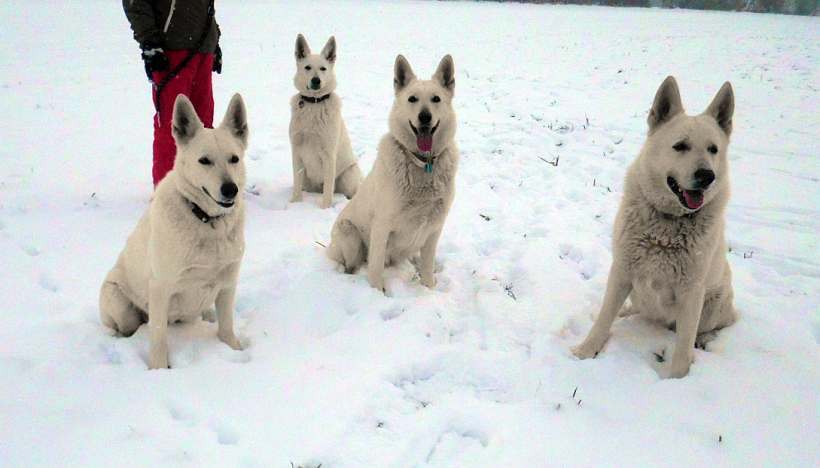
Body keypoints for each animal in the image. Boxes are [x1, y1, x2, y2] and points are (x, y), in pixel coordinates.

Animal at [292, 33, 362, 208]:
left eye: (323, 69)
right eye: (307, 67)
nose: (316, 80)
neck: (314, 103)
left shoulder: (329, 154)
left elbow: (328, 189)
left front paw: (324, 209)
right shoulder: (296, 151)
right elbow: (296, 183)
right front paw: (294, 204)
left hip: (348, 176)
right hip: (308, 182)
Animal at [326, 54, 458, 292]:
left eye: (436, 99)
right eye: (412, 99)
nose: (425, 117)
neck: (422, 163)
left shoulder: (434, 229)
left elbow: (427, 267)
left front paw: (429, 289)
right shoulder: (382, 226)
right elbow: (376, 268)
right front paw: (377, 293)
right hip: (349, 233)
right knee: (352, 265)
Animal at [572, 76, 740, 376]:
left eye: (713, 149)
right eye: (680, 146)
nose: (706, 176)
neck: (667, 226)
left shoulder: (691, 292)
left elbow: (683, 349)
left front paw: (677, 381)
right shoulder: (622, 271)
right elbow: (603, 318)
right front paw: (586, 351)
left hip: (713, 303)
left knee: (718, 324)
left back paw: (705, 339)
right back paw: (626, 312)